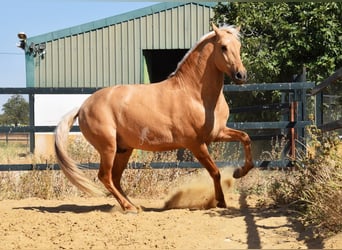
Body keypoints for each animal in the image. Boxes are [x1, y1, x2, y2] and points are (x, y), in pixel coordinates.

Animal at [54, 23, 254, 212]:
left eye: (239, 45)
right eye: (223, 47)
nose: (241, 75)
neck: (195, 95)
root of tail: (83, 107)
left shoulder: (217, 133)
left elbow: (245, 138)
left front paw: (239, 172)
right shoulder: (195, 144)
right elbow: (215, 171)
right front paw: (220, 202)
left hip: (123, 149)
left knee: (116, 178)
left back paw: (134, 205)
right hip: (108, 148)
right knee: (105, 177)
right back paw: (129, 208)